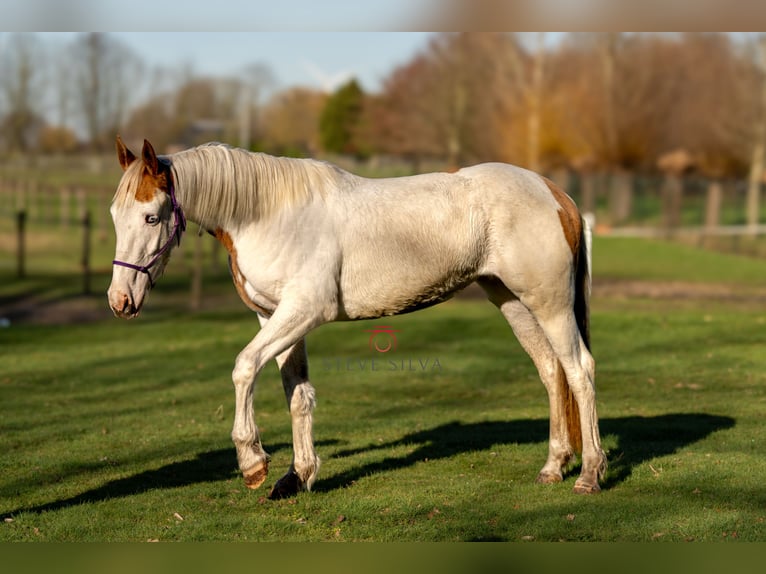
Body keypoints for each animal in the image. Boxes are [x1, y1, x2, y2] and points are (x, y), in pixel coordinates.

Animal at [108, 137, 607, 499]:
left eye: (151, 217)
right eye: (114, 215)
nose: (119, 301)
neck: (268, 214)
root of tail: (554, 193)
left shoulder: (303, 311)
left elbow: (244, 368)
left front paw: (252, 463)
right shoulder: (276, 319)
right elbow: (297, 395)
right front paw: (298, 476)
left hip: (550, 304)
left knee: (579, 371)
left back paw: (589, 474)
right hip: (513, 302)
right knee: (551, 372)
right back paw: (553, 467)